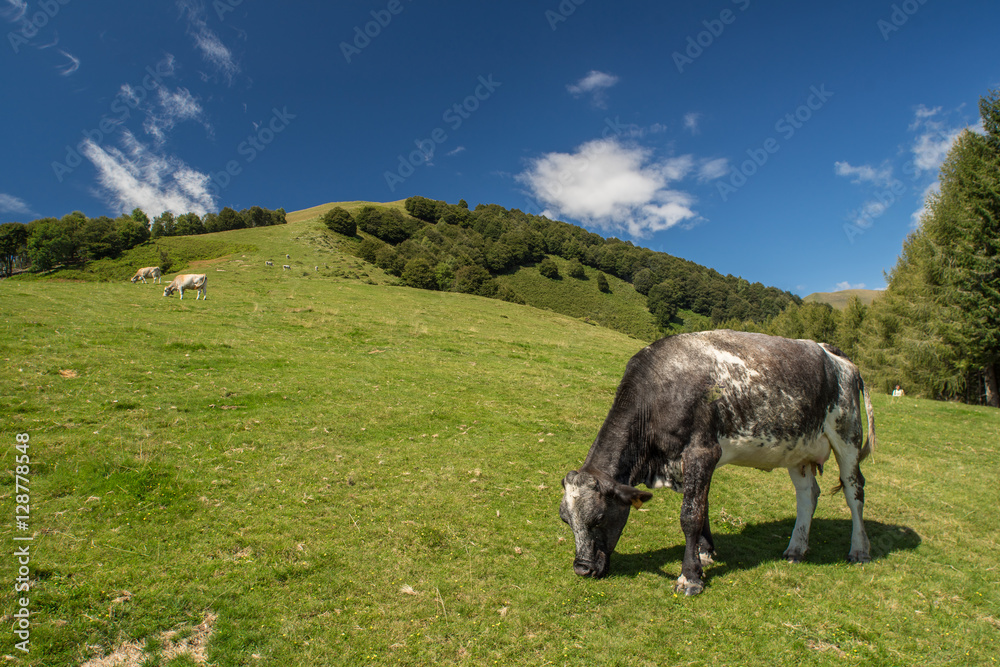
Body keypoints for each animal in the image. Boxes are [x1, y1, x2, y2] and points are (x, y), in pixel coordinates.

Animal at [559, 330, 875, 596]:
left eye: (599, 517)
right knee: (808, 496)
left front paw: (690, 577)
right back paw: (796, 549)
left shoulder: (702, 451)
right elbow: (703, 506)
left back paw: (860, 550)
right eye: (566, 519)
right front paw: (704, 554)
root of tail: (829, 351)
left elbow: (691, 515)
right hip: (799, 450)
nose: (582, 568)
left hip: (847, 435)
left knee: (854, 490)